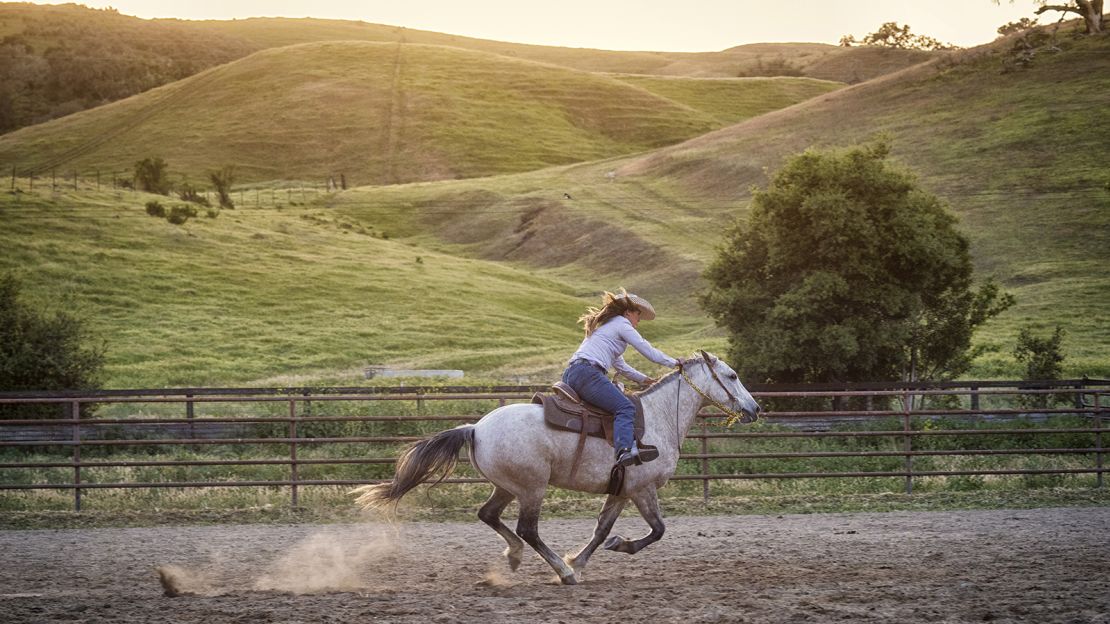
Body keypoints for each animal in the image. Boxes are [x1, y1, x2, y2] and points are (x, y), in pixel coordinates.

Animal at [350, 350, 759, 581]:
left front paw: (581, 559)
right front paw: (606, 552)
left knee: (489, 515)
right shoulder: (641, 488)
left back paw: (518, 557)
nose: (755, 408)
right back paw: (559, 573)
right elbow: (657, 530)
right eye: (733, 375)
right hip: (532, 488)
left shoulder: (621, 490)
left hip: (507, 486)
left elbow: (601, 530)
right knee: (527, 529)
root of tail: (475, 428)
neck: (659, 417)